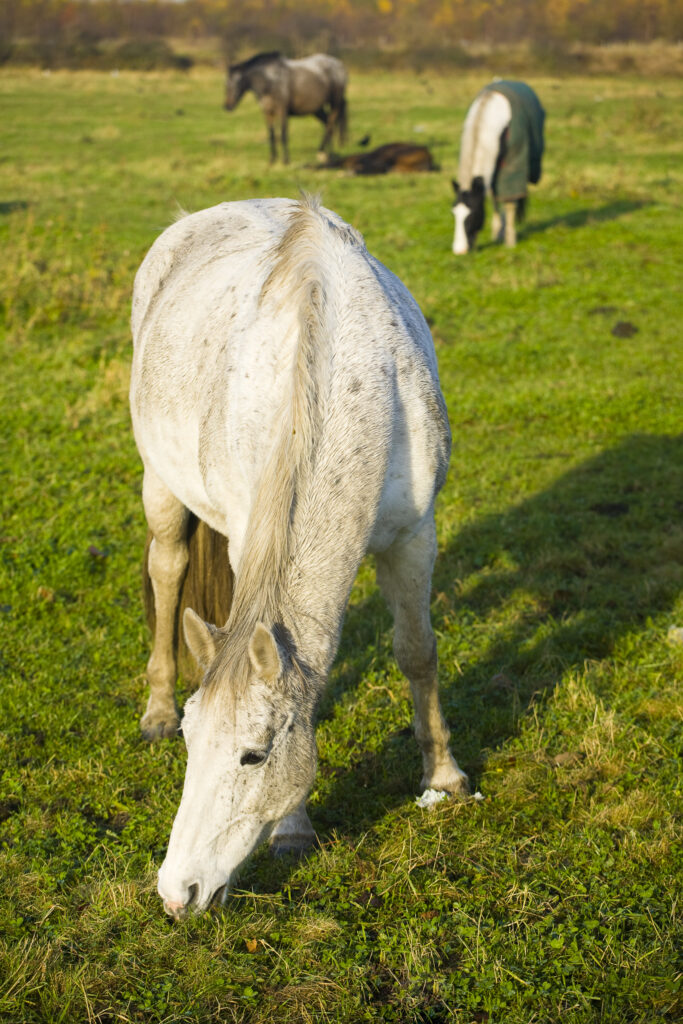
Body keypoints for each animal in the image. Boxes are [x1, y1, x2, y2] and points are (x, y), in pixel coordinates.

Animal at [130, 195, 469, 918]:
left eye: (253, 756)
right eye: (191, 744)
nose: (176, 892)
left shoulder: (414, 535)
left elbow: (417, 654)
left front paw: (445, 777)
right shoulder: (243, 534)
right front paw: (292, 830)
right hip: (161, 485)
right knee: (168, 570)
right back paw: (155, 707)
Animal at [452, 80, 545, 254]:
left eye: (473, 214)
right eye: (454, 213)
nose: (459, 250)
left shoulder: (513, 164)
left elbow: (510, 201)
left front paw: (510, 239)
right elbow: (494, 197)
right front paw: (497, 232)